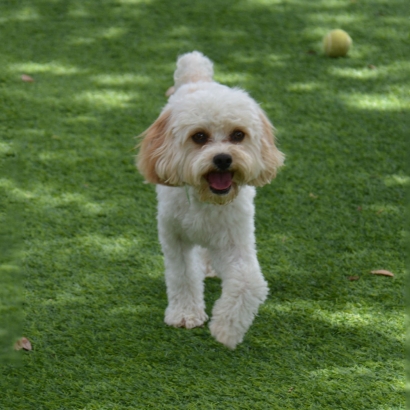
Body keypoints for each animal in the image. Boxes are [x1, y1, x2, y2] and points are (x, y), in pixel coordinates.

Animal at [136, 49, 284, 348]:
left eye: (238, 134)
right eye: (199, 136)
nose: (223, 159)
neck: (207, 200)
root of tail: (199, 79)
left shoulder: (237, 240)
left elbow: (250, 282)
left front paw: (226, 330)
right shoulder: (175, 237)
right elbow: (182, 275)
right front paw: (185, 314)